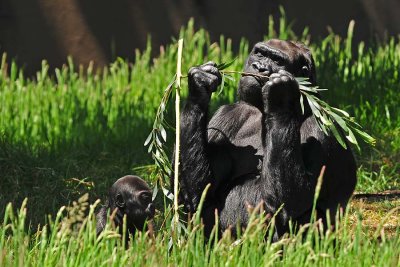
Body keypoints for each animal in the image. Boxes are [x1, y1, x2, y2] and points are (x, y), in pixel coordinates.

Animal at [175, 39, 356, 239]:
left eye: (277, 60)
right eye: (259, 54)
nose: (259, 67)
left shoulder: (323, 126)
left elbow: (293, 203)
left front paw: (280, 94)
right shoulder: (226, 116)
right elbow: (198, 195)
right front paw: (200, 84)